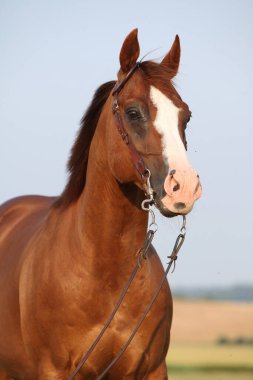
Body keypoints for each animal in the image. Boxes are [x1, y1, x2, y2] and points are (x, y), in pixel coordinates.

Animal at [0, 29, 202, 380]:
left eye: (185, 116)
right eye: (133, 112)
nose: (185, 188)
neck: (106, 276)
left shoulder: (152, 370)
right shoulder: (54, 371)